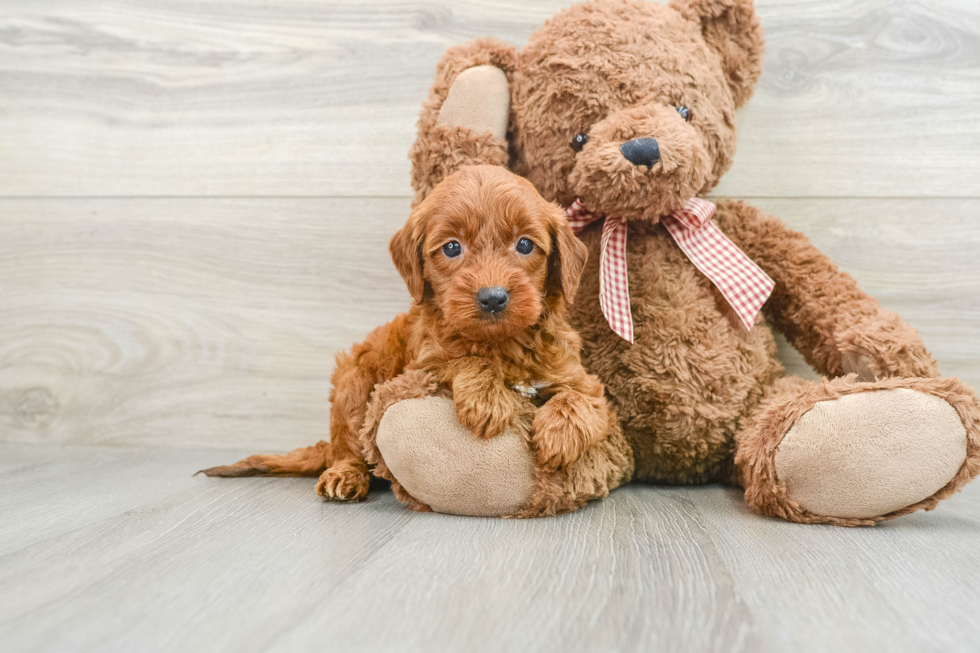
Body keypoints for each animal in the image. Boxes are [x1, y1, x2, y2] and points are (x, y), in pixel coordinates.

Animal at [199, 164, 616, 510]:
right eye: (452, 247)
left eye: (525, 244)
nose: (493, 297)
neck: (500, 343)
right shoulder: (423, 365)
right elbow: (463, 360)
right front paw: (487, 400)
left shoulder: (579, 377)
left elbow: (581, 399)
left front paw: (559, 435)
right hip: (356, 380)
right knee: (347, 446)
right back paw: (344, 475)